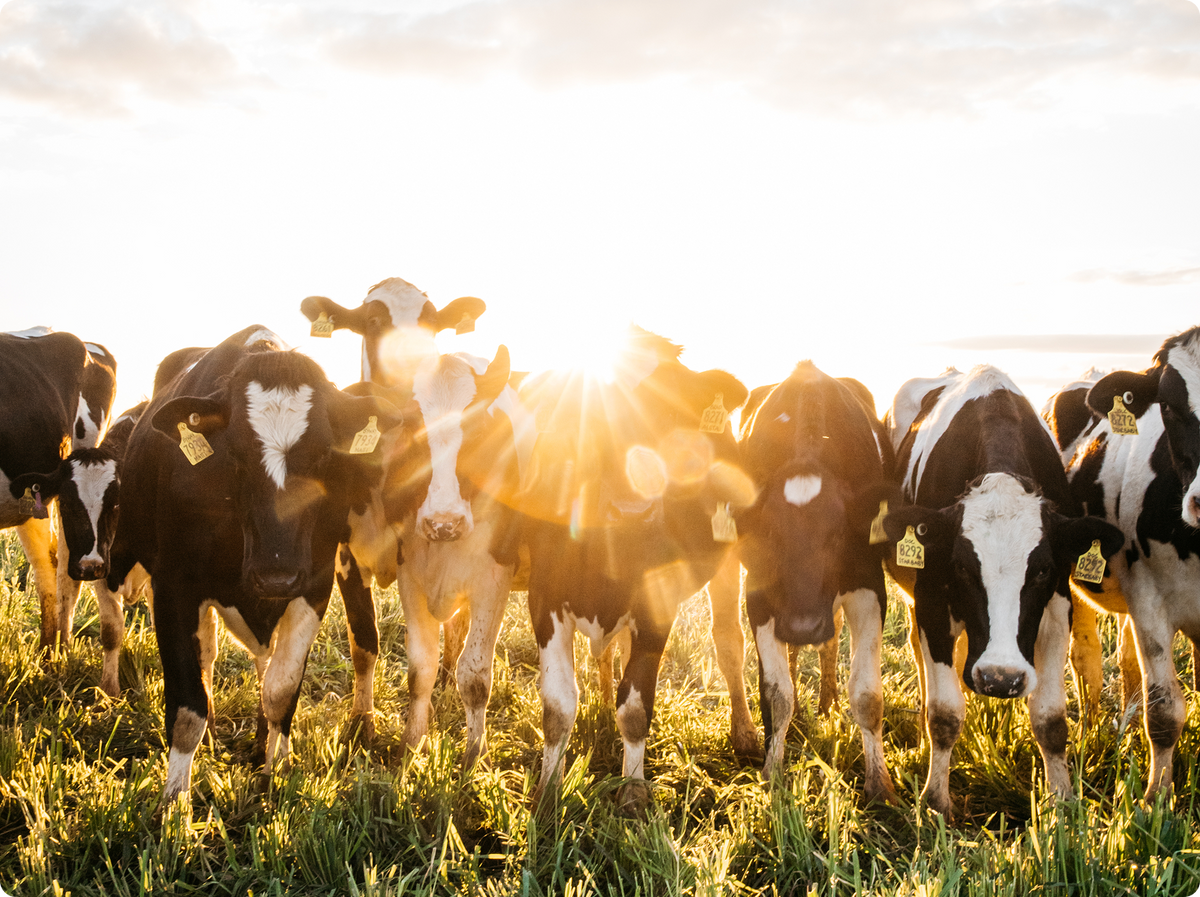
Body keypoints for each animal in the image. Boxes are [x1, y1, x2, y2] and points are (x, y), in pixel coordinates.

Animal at [98, 325, 402, 800]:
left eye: (323, 457)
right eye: (236, 455)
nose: (275, 574)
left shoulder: (312, 586)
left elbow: (280, 690)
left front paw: (275, 770)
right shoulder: (174, 587)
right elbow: (188, 706)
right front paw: (175, 804)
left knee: (257, 664)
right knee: (187, 653)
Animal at [516, 327, 751, 809]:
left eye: (667, 411)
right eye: (588, 414)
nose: (632, 503)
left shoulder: (657, 602)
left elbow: (637, 707)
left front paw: (634, 792)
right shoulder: (545, 594)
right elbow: (558, 705)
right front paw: (548, 794)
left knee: (729, 643)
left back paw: (746, 734)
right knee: (609, 654)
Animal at [735, 362, 897, 802]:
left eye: (838, 536)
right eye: (769, 535)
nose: (802, 626)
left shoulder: (869, 589)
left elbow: (868, 695)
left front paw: (881, 784)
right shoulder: (759, 596)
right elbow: (777, 694)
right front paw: (772, 773)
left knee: (830, 640)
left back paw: (828, 702)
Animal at [882, 365, 1123, 816]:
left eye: (1042, 569)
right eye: (961, 565)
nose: (999, 678)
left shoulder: (1056, 608)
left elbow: (1050, 717)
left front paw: (1062, 801)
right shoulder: (932, 602)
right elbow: (944, 712)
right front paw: (936, 801)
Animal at [1050, 327, 1200, 801]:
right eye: (1169, 405)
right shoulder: (1150, 599)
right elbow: (1165, 710)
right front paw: (1156, 799)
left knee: (1128, 659)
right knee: (1088, 660)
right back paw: (1093, 732)